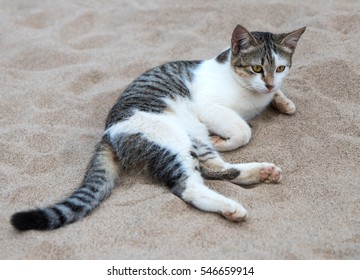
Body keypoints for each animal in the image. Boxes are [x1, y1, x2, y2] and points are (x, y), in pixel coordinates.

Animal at [10, 24, 304, 230]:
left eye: (280, 68)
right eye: (256, 68)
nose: (269, 84)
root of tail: (108, 134)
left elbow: (273, 103)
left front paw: (284, 102)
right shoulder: (207, 106)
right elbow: (244, 131)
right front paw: (227, 138)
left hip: (192, 137)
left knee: (213, 168)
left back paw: (261, 172)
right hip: (173, 138)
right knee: (190, 185)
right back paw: (231, 206)